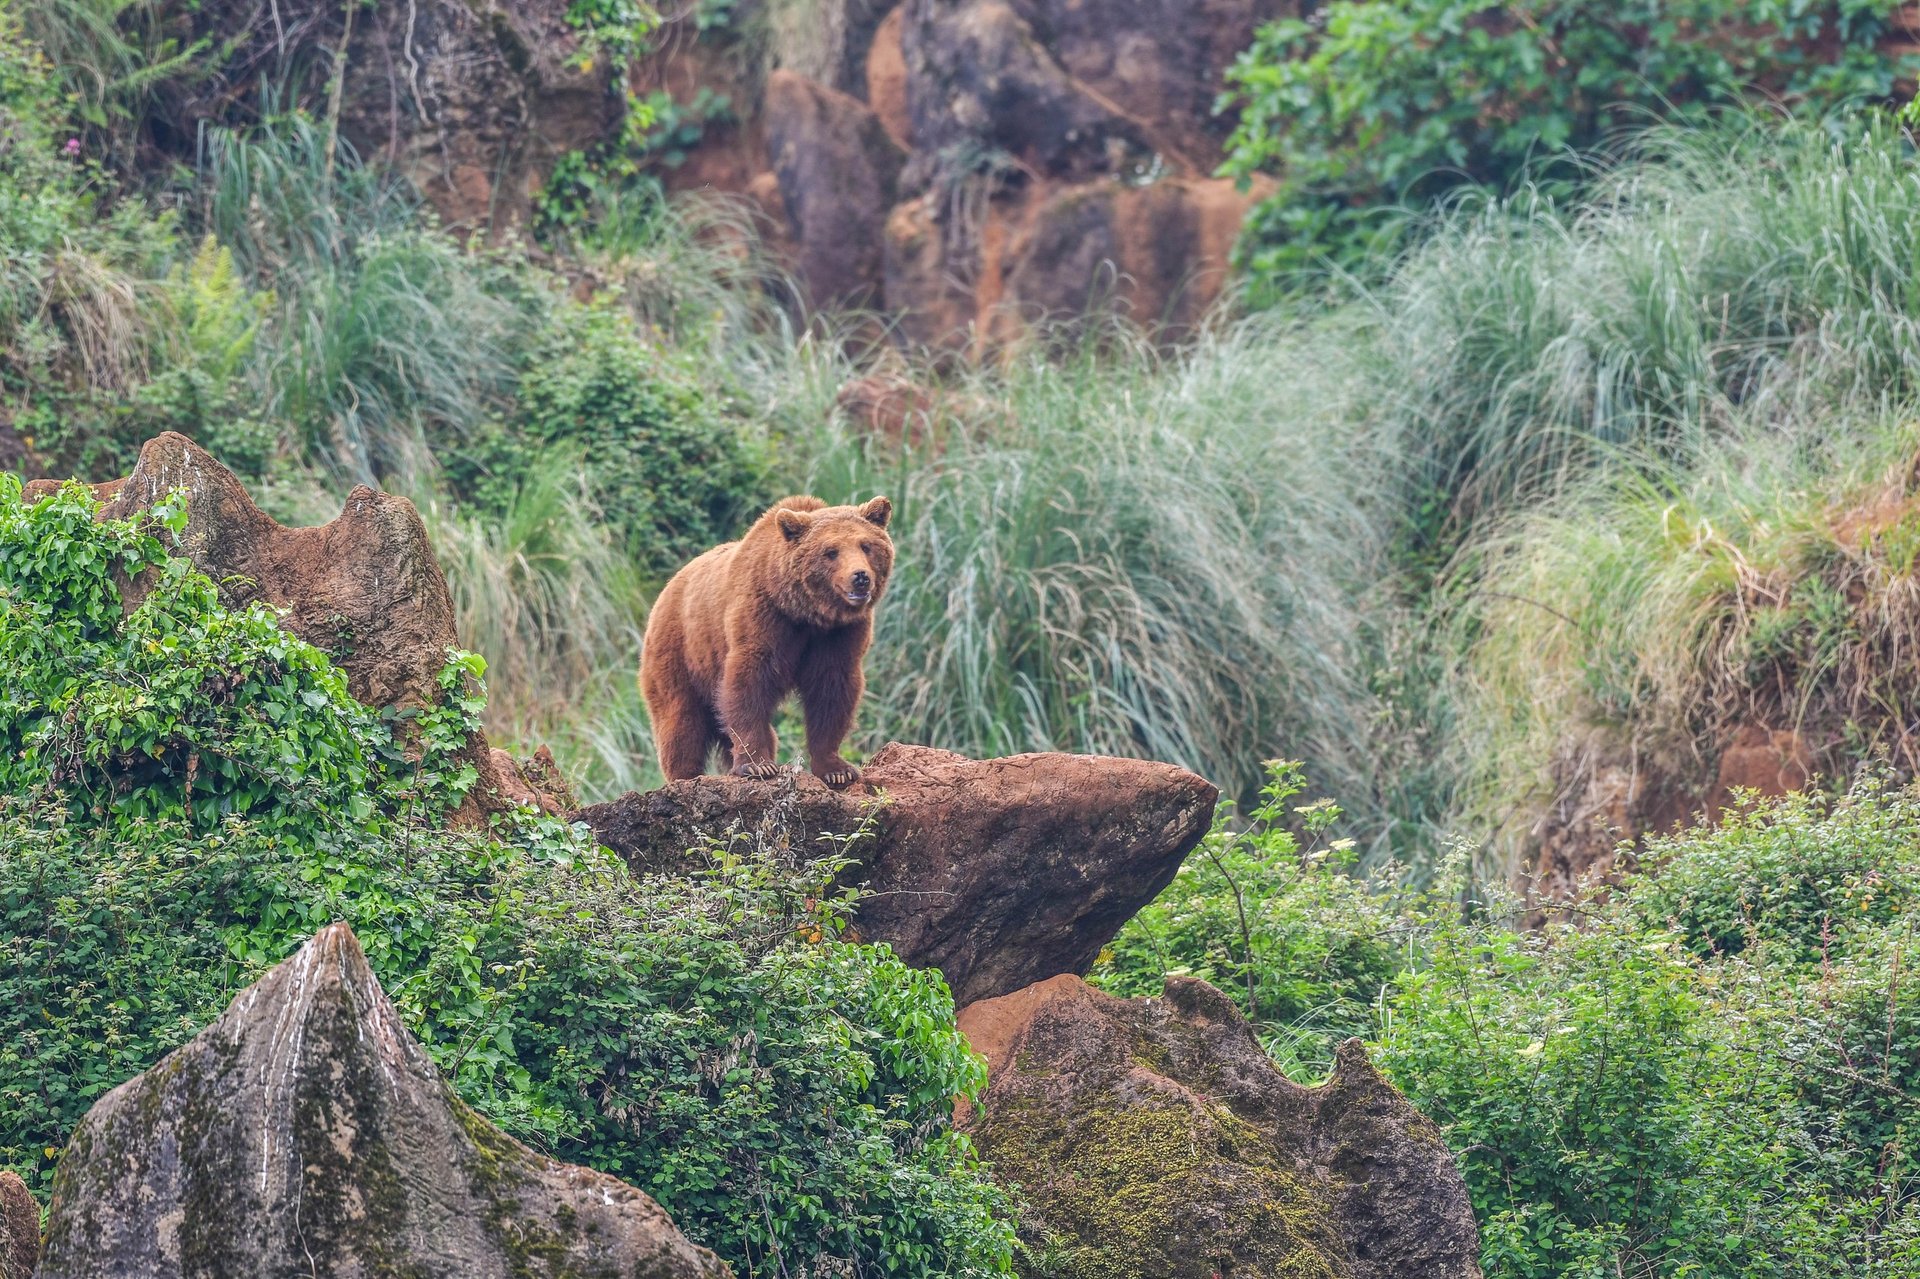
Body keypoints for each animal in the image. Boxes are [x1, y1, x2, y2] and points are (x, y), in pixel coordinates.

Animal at [640, 494, 895, 786]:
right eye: (831, 552)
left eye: (866, 546)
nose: (860, 577)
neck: (805, 612)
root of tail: (668, 587)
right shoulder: (764, 617)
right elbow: (748, 684)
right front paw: (758, 765)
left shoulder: (839, 634)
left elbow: (832, 690)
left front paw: (837, 769)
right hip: (680, 650)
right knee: (681, 720)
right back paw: (685, 776)